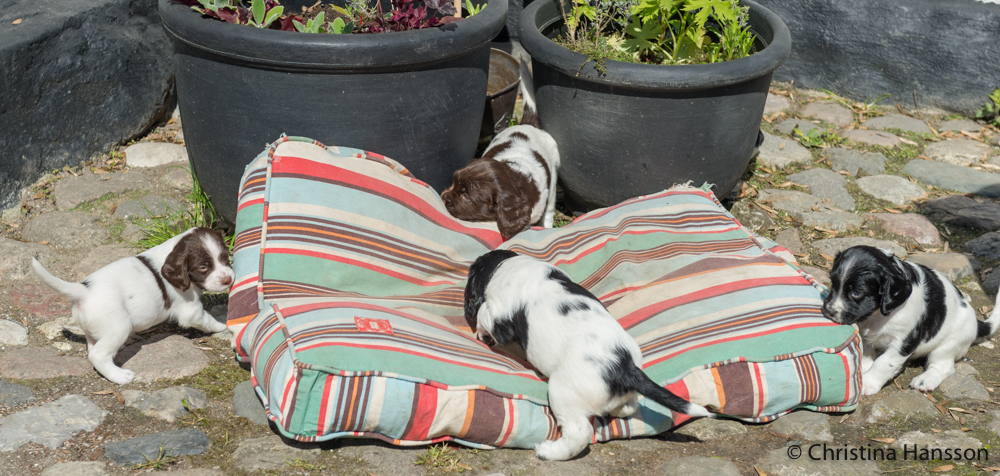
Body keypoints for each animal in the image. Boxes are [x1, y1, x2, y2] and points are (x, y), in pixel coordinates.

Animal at [31, 227, 233, 385]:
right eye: (203, 267)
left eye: (225, 258)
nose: (228, 280)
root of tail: (83, 290)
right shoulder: (191, 310)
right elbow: (208, 320)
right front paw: (223, 326)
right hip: (119, 325)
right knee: (98, 355)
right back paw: (120, 376)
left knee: (93, 346)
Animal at [441, 64, 560, 240]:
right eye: (453, 182)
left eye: (466, 196)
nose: (443, 197)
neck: (514, 176)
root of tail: (528, 124)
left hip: (553, 177)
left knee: (550, 209)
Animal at [465, 250, 712, 460]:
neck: (508, 265)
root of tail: (624, 367)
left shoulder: (498, 314)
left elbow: (483, 314)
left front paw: (481, 332)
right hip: (619, 394)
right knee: (629, 407)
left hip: (562, 391)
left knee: (579, 431)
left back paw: (548, 452)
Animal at [822, 245, 1000, 395]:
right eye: (833, 283)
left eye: (857, 293)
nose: (828, 311)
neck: (877, 315)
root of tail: (977, 322)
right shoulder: (865, 332)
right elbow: (866, 353)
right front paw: (863, 369)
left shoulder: (903, 342)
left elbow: (884, 362)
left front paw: (867, 382)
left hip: (949, 344)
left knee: (943, 367)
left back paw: (926, 379)